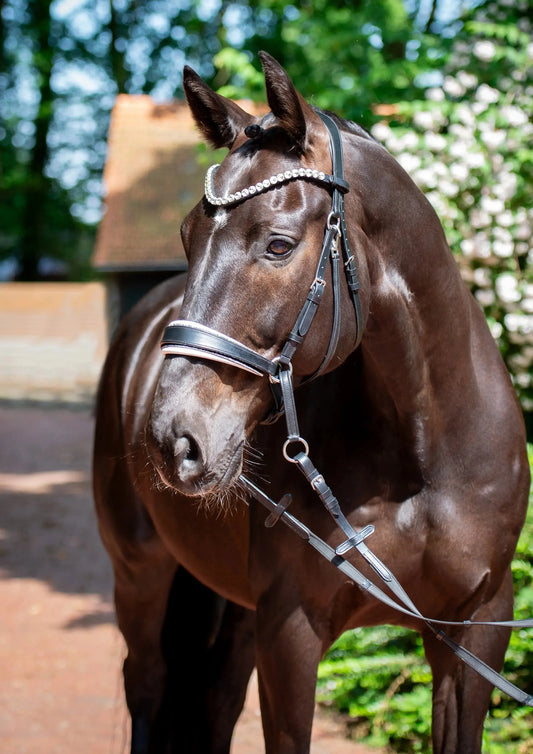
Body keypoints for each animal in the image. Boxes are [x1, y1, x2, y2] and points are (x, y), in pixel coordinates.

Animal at [93, 50, 528, 748]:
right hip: (140, 576)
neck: (425, 454)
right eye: (187, 237)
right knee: (150, 688)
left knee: (216, 698)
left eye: (277, 243)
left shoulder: (476, 632)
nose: (172, 440)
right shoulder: (291, 634)